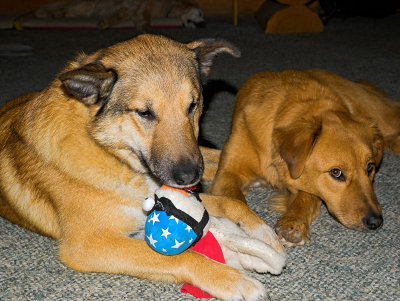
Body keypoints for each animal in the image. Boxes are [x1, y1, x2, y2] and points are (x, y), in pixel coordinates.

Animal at [0, 34, 288, 298]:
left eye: (193, 105)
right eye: (144, 113)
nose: (189, 177)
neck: (106, 149)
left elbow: (230, 202)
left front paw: (263, 233)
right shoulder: (88, 245)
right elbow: (177, 257)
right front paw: (231, 279)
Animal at [211, 68, 398, 246]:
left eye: (370, 167)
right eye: (336, 173)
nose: (375, 222)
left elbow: (306, 197)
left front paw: (293, 223)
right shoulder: (228, 173)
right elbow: (235, 200)